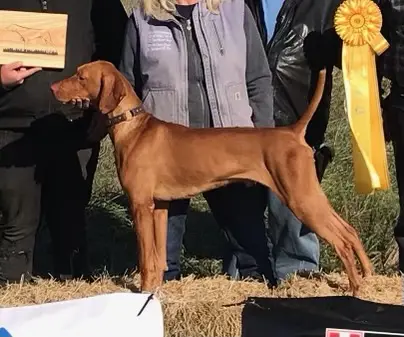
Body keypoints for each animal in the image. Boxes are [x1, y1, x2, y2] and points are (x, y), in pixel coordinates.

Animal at [49, 60, 372, 294]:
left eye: (80, 76)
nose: (52, 85)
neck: (134, 128)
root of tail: (292, 132)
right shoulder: (160, 207)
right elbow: (157, 258)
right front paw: (154, 290)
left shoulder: (140, 205)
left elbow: (145, 258)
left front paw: (142, 292)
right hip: (310, 195)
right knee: (350, 230)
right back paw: (368, 275)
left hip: (300, 199)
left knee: (341, 240)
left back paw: (355, 287)